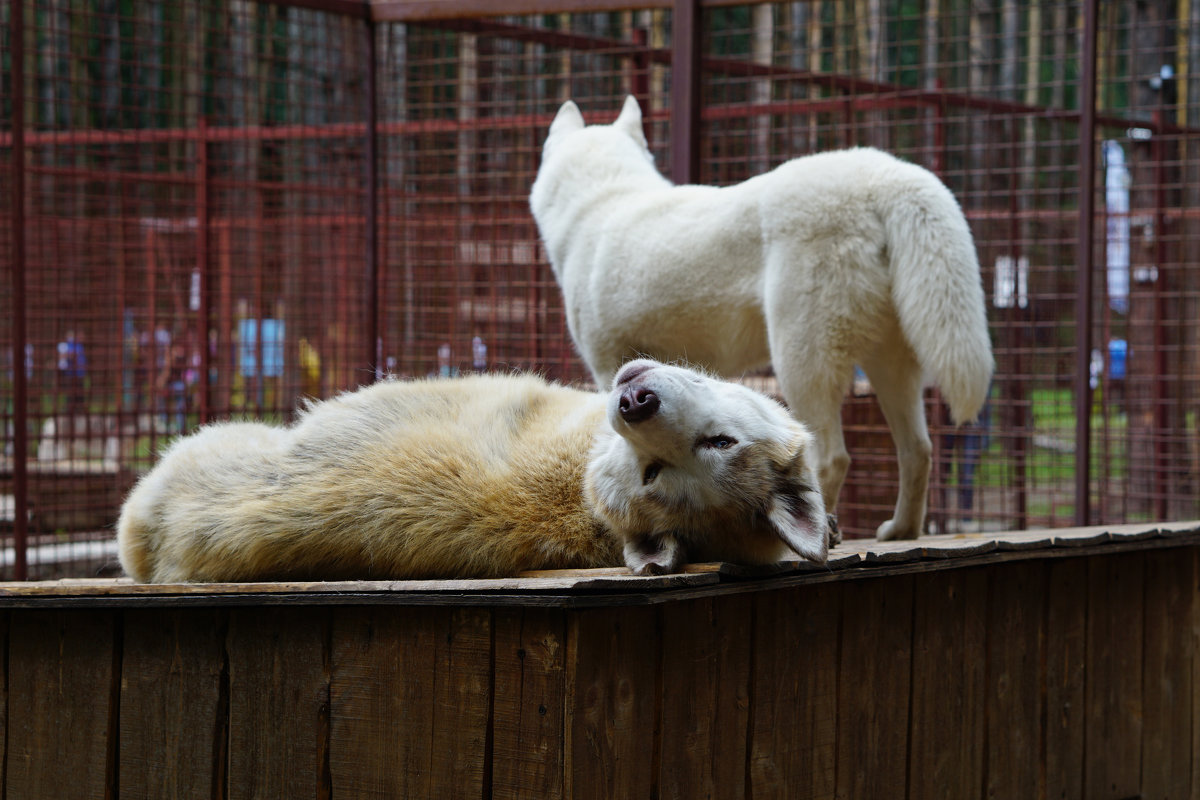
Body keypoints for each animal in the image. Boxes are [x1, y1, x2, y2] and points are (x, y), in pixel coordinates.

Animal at [532, 97, 993, 542]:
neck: (601, 198)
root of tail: (885, 176)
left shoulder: (606, 367)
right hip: (891, 366)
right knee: (919, 450)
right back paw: (900, 530)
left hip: (800, 361)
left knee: (831, 456)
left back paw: (829, 530)